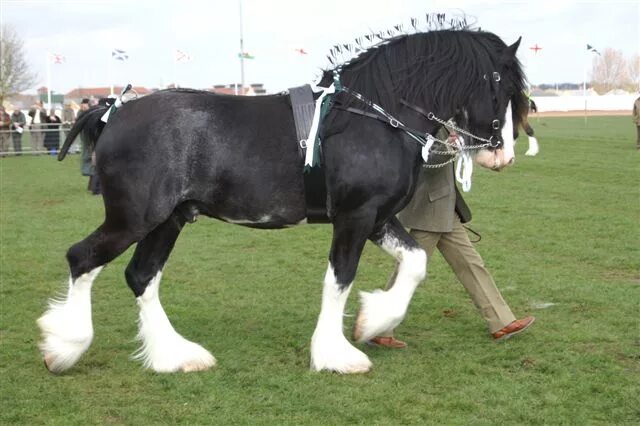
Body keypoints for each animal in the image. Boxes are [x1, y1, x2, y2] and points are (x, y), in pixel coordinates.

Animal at [38, 29, 524, 372]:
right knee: (82, 257)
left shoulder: (378, 218)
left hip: (168, 220)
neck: (374, 117)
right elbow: (339, 279)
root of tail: (113, 112)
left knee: (141, 276)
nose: (502, 154)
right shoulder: (355, 217)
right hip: (135, 218)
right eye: (502, 85)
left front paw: (373, 321)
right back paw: (64, 347)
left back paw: (175, 356)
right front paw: (336, 355)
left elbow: (417, 261)